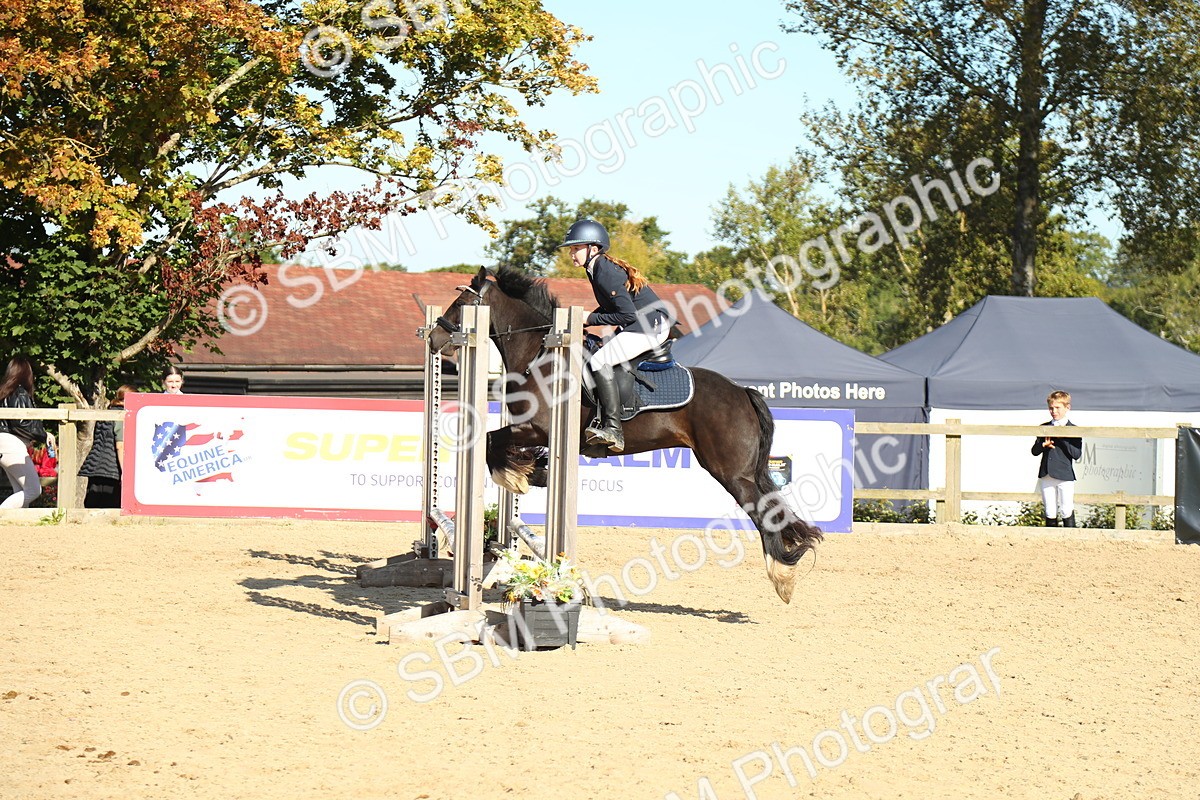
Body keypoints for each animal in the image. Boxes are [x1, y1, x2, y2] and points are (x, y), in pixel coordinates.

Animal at [427, 266, 823, 603]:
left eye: (462, 304)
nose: (433, 338)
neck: (540, 354)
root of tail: (741, 392)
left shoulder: (536, 428)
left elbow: (493, 443)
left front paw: (519, 476)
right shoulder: (536, 432)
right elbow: (500, 445)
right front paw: (531, 471)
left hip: (731, 471)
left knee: (763, 511)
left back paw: (782, 576)